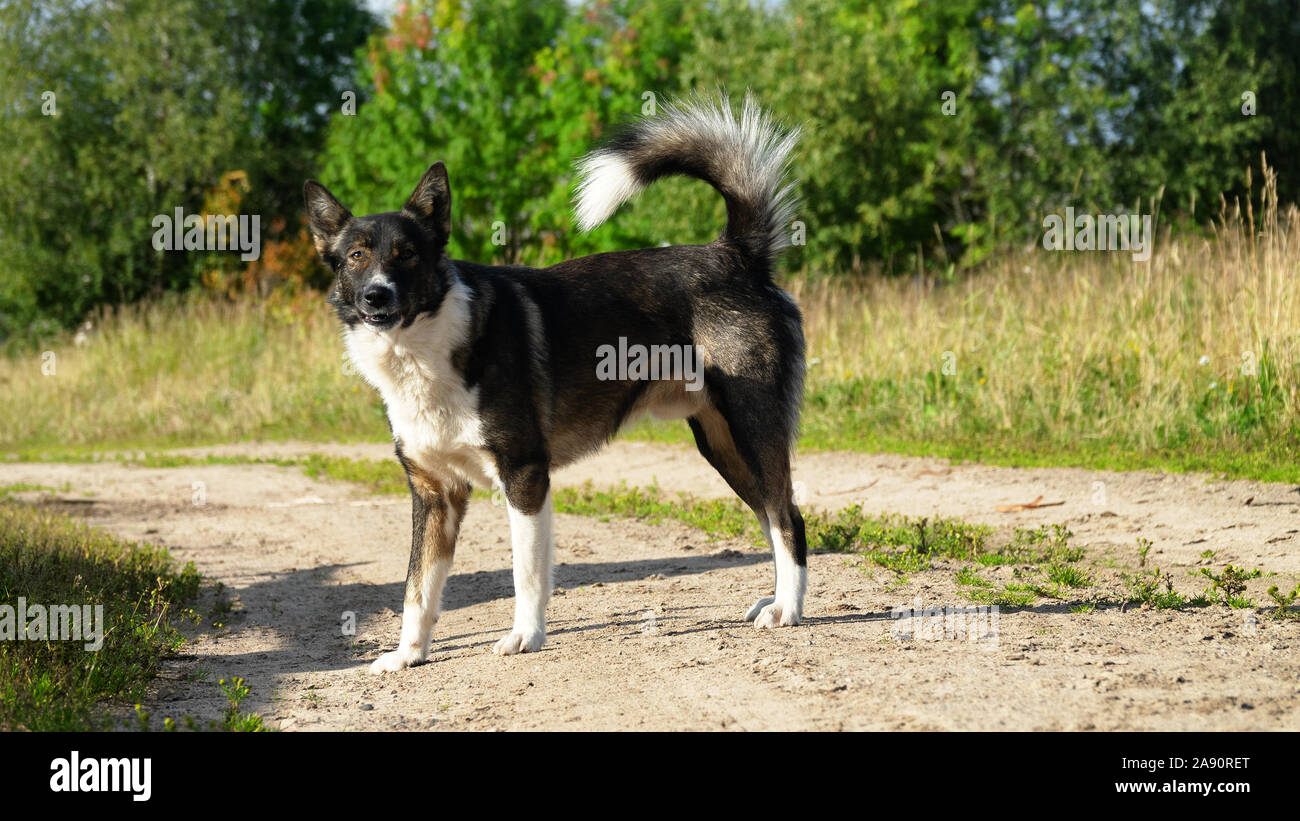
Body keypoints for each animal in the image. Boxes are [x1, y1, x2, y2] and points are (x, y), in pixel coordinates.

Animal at [304, 96, 806, 675]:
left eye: (407, 254)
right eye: (357, 256)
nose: (376, 296)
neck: (423, 350)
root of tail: (736, 255)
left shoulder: (525, 477)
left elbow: (525, 573)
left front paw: (525, 636)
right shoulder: (435, 496)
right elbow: (417, 587)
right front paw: (409, 653)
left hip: (753, 429)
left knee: (789, 517)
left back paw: (789, 609)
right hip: (723, 445)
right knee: (771, 516)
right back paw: (774, 599)